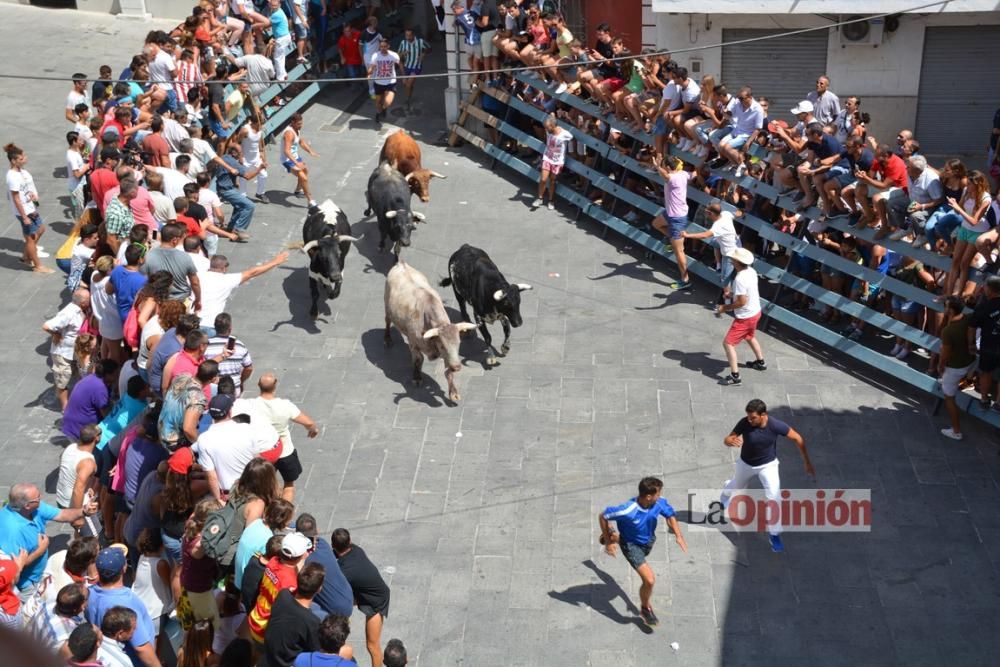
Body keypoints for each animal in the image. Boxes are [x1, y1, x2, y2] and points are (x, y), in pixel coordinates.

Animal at [382, 260, 476, 402]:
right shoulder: (413, 343)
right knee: (387, 321)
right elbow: (418, 360)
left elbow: (448, 372)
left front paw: (453, 392)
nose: (457, 367)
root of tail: (401, 264)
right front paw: (417, 378)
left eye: (458, 343)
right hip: (387, 308)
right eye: (442, 346)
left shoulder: (447, 356)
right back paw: (387, 339)